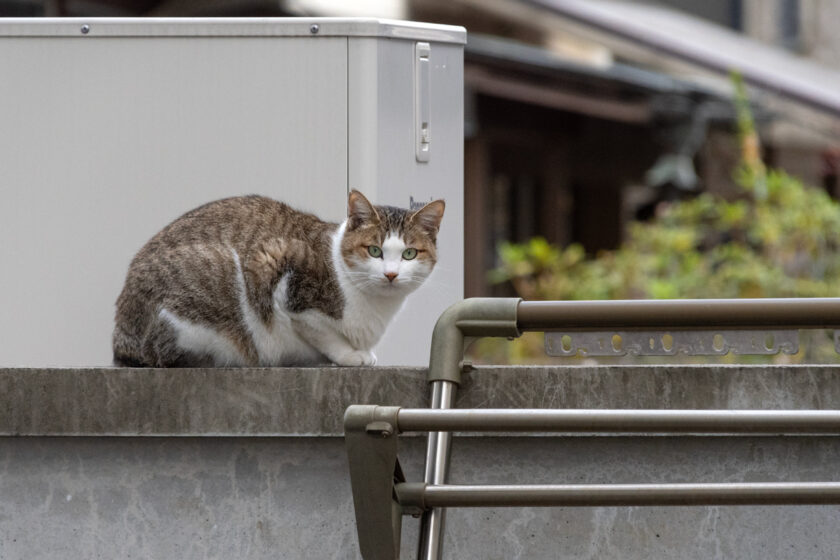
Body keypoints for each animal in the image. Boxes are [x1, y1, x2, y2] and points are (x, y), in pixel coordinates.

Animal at [113, 190, 446, 368]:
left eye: (409, 254)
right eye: (375, 250)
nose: (390, 274)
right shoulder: (278, 268)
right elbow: (321, 332)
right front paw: (351, 355)